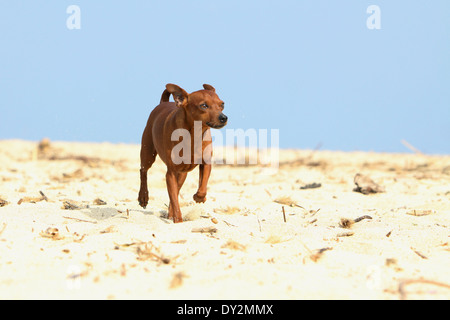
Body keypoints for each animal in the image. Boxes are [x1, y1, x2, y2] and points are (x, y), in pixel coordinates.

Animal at [138, 83, 229, 222]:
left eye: (222, 104)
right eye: (204, 105)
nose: (223, 117)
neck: (194, 135)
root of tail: (163, 103)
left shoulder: (205, 163)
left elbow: (202, 185)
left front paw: (199, 197)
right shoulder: (170, 173)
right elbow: (175, 199)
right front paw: (178, 219)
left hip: (182, 174)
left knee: (175, 191)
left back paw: (170, 213)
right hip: (148, 153)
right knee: (143, 171)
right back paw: (143, 197)